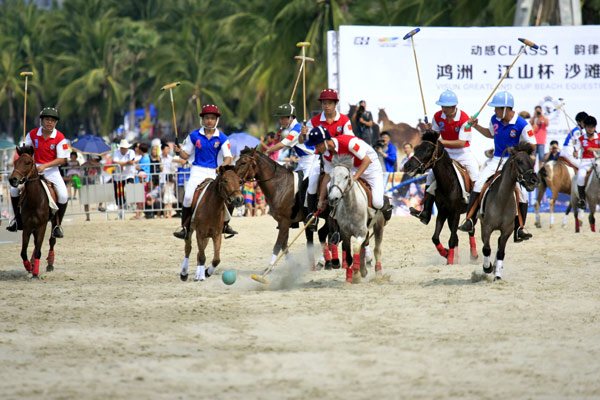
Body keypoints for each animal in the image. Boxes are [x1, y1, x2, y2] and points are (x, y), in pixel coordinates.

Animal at [7, 146, 59, 278]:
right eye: (15, 162)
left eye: (28, 162)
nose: (12, 179)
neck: (35, 201)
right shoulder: (27, 227)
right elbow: (23, 252)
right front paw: (29, 267)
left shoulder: (41, 226)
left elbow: (38, 251)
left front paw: (35, 273)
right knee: (35, 244)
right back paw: (32, 263)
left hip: (52, 222)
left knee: (51, 240)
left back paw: (50, 264)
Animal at [404, 131, 478, 264]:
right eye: (416, 148)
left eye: (428, 149)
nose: (407, 165)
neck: (448, 183)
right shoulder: (443, 212)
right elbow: (435, 238)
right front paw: (447, 254)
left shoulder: (455, 213)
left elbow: (452, 239)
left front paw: (450, 260)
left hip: (471, 212)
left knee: (471, 229)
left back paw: (474, 256)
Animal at [478, 145, 540, 282]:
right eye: (519, 161)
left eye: (532, 162)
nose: (534, 180)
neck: (502, 200)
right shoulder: (487, 227)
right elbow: (486, 248)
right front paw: (487, 268)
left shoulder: (508, 229)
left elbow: (501, 252)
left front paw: (497, 275)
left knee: (498, 245)